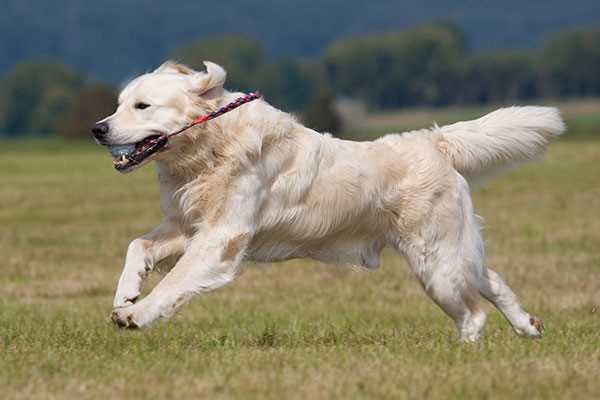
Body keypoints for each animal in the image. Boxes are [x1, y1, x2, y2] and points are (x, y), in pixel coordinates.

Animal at [92, 61, 564, 342]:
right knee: (492, 280)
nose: (98, 129)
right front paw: (126, 295)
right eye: (119, 104)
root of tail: (433, 141)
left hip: (437, 265)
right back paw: (528, 326)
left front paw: (137, 314)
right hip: (452, 255)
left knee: (473, 314)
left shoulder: (220, 239)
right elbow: (137, 246)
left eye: (142, 106)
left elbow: (173, 283)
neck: (208, 148)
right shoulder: (187, 226)